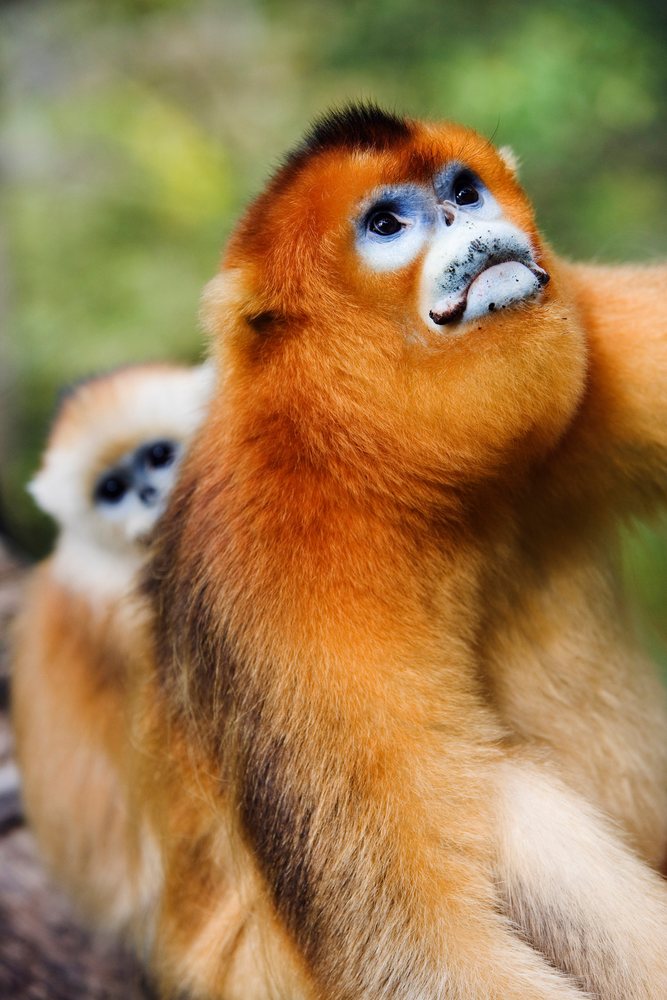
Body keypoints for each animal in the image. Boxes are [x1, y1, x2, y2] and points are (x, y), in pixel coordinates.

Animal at [131, 104, 667, 999]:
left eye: (462, 189)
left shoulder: (597, 331)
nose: (459, 216)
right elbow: (415, 951)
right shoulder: (282, 568)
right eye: (386, 224)